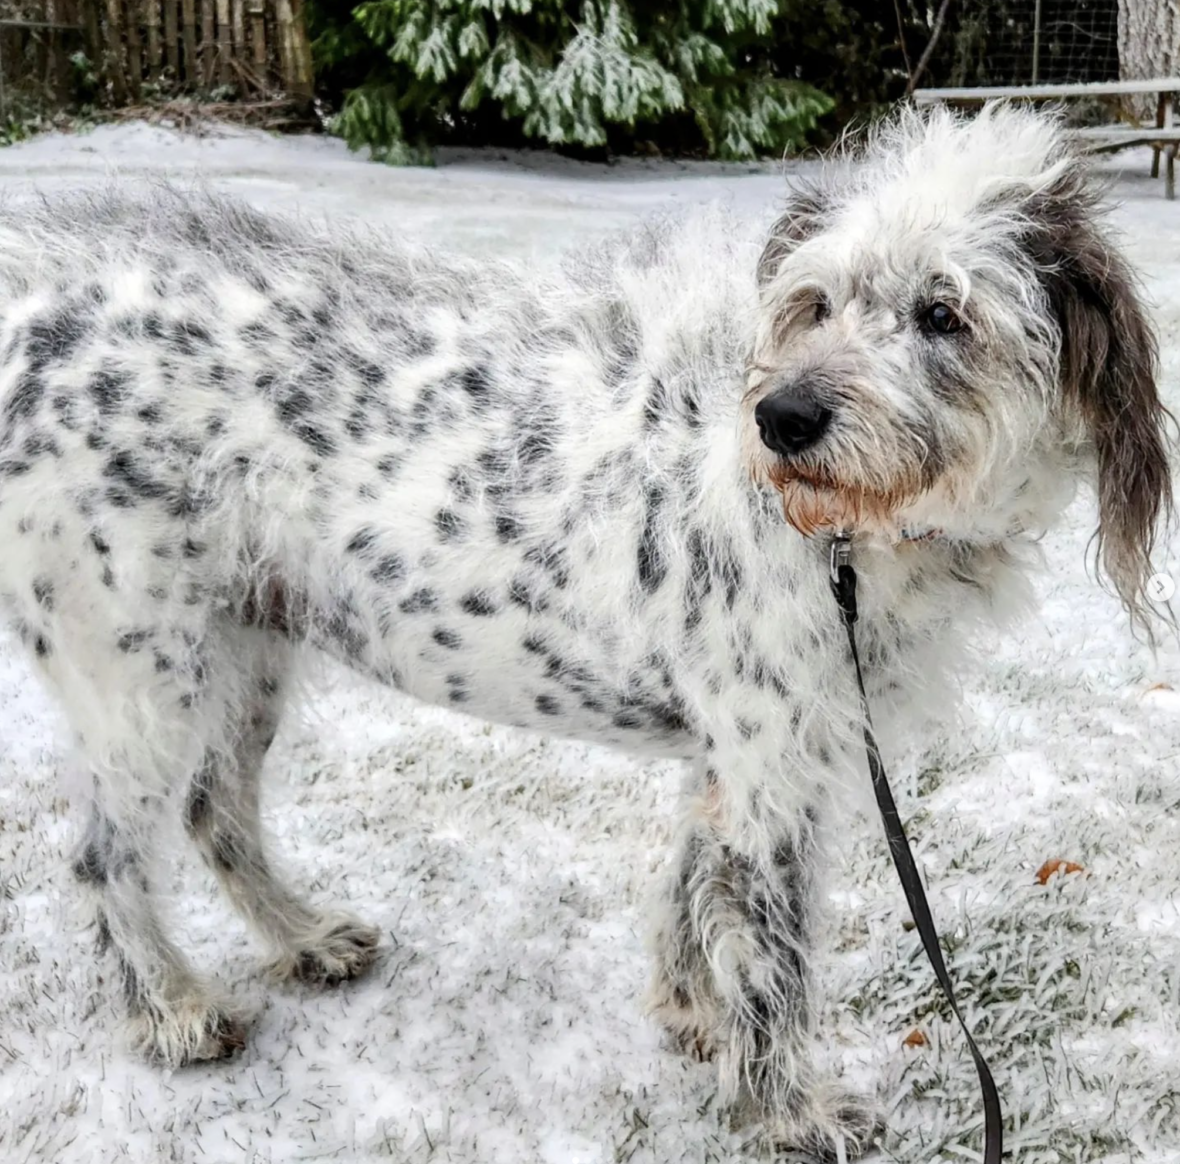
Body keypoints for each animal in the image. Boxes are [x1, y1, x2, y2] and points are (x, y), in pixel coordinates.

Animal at [0, 104, 1165, 1156]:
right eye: (816, 302)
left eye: (942, 314)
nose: (780, 420)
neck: (848, 536)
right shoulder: (776, 769)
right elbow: (774, 962)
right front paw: (788, 1110)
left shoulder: (738, 753)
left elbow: (694, 887)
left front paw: (693, 1017)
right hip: (139, 672)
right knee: (105, 853)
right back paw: (173, 1011)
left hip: (247, 643)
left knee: (214, 810)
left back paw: (305, 939)